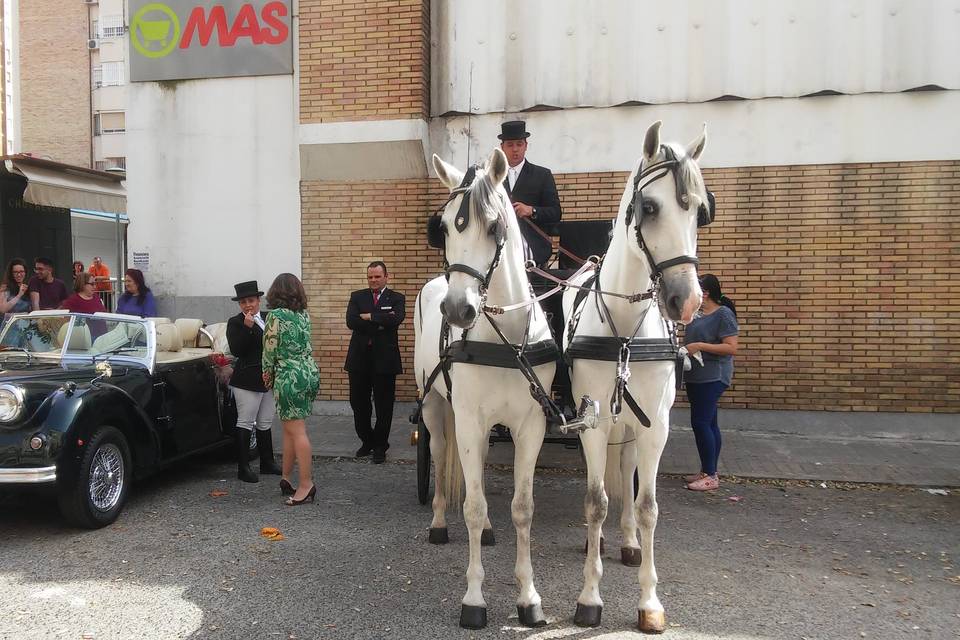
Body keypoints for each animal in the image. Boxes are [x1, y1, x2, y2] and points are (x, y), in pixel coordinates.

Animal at [410, 146, 556, 632]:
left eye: (494, 227)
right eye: (442, 227)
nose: (458, 310)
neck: (504, 339)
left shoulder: (531, 425)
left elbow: (523, 508)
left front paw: (529, 598)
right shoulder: (469, 421)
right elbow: (472, 507)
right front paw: (473, 599)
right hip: (437, 408)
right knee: (440, 456)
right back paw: (438, 521)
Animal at [560, 119, 708, 632]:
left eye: (699, 210)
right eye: (649, 207)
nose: (687, 300)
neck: (624, 333)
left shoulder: (655, 426)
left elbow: (645, 505)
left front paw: (649, 601)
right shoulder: (592, 420)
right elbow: (595, 500)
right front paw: (588, 596)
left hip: (630, 422)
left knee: (625, 474)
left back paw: (625, 541)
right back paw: (600, 539)